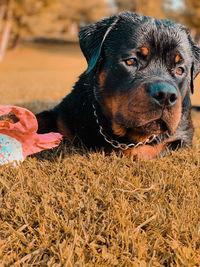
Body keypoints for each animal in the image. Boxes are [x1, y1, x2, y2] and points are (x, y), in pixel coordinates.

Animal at [36, 11, 200, 160]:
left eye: (180, 69)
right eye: (131, 61)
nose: (165, 95)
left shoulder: (182, 136)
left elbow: (145, 149)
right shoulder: (62, 115)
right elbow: (39, 119)